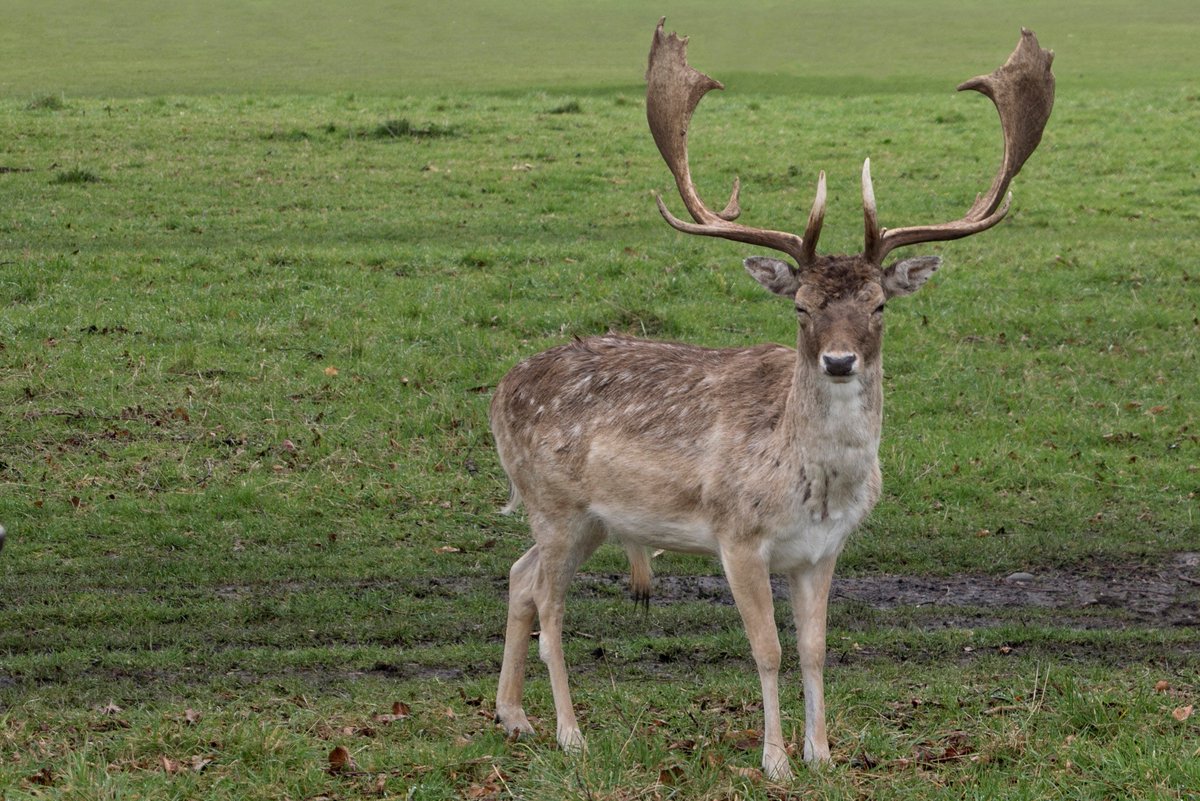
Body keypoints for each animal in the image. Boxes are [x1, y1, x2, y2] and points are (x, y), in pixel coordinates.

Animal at [489, 18, 1053, 781]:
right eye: (802, 306)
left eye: (879, 305)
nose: (839, 360)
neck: (810, 487)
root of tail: (498, 393)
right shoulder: (737, 536)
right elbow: (768, 649)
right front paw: (775, 760)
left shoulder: (822, 550)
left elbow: (814, 648)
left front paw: (823, 753)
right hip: (554, 503)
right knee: (549, 607)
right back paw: (570, 734)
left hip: (591, 521)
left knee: (519, 576)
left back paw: (513, 716)